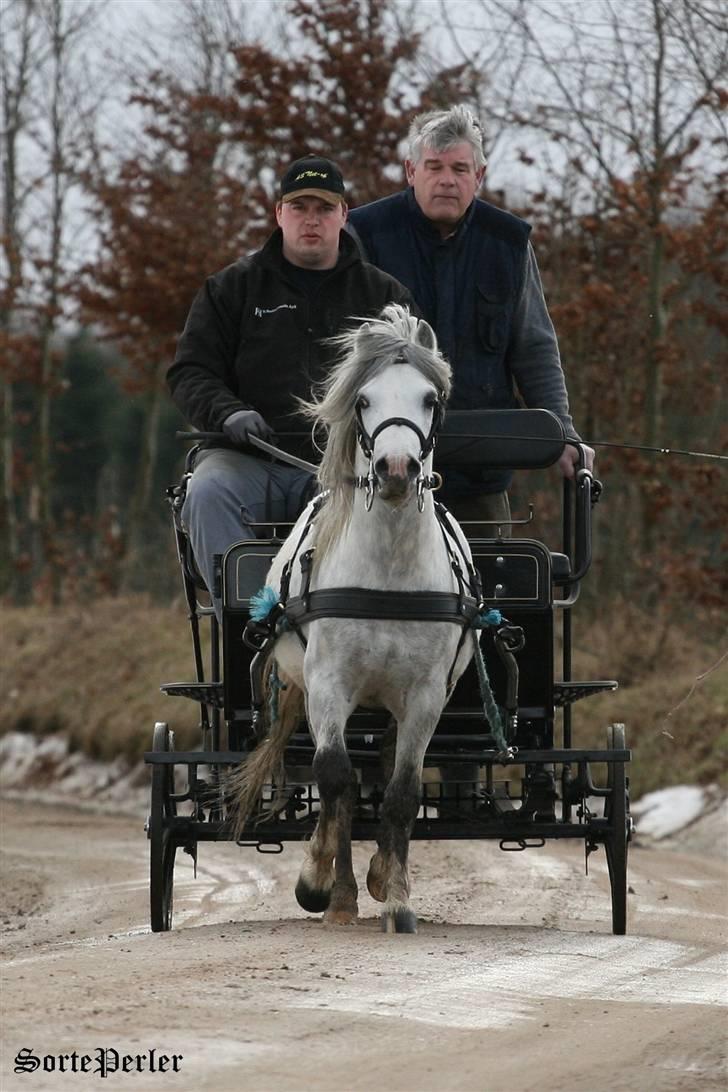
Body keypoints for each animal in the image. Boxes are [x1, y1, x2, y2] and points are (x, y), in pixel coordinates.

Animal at [233, 305, 480, 930]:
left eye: (429, 399)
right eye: (364, 400)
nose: (396, 467)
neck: (387, 575)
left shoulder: (425, 696)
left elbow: (401, 792)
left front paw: (396, 898)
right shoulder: (328, 685)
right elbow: (335, 781)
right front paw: (326, 887)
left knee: (385, 770)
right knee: (341, 782)